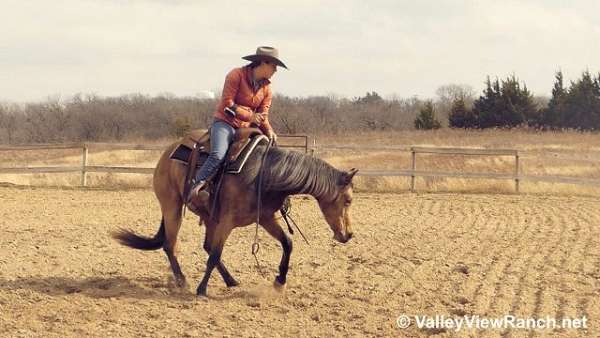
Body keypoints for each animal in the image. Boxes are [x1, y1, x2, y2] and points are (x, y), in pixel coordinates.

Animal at [112, 131, 356, 298]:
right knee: (171, 245)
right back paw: (182, 281)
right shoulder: (227, 222)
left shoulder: (265, 218)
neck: (263, 174)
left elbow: (287, 243)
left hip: (209, 216)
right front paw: (201, 289)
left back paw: (230, 280)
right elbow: (215, 254)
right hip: (172, 207)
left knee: (204, 246)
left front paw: (279, 282)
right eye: (348, 200)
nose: (348, 235)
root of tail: (168, 152)